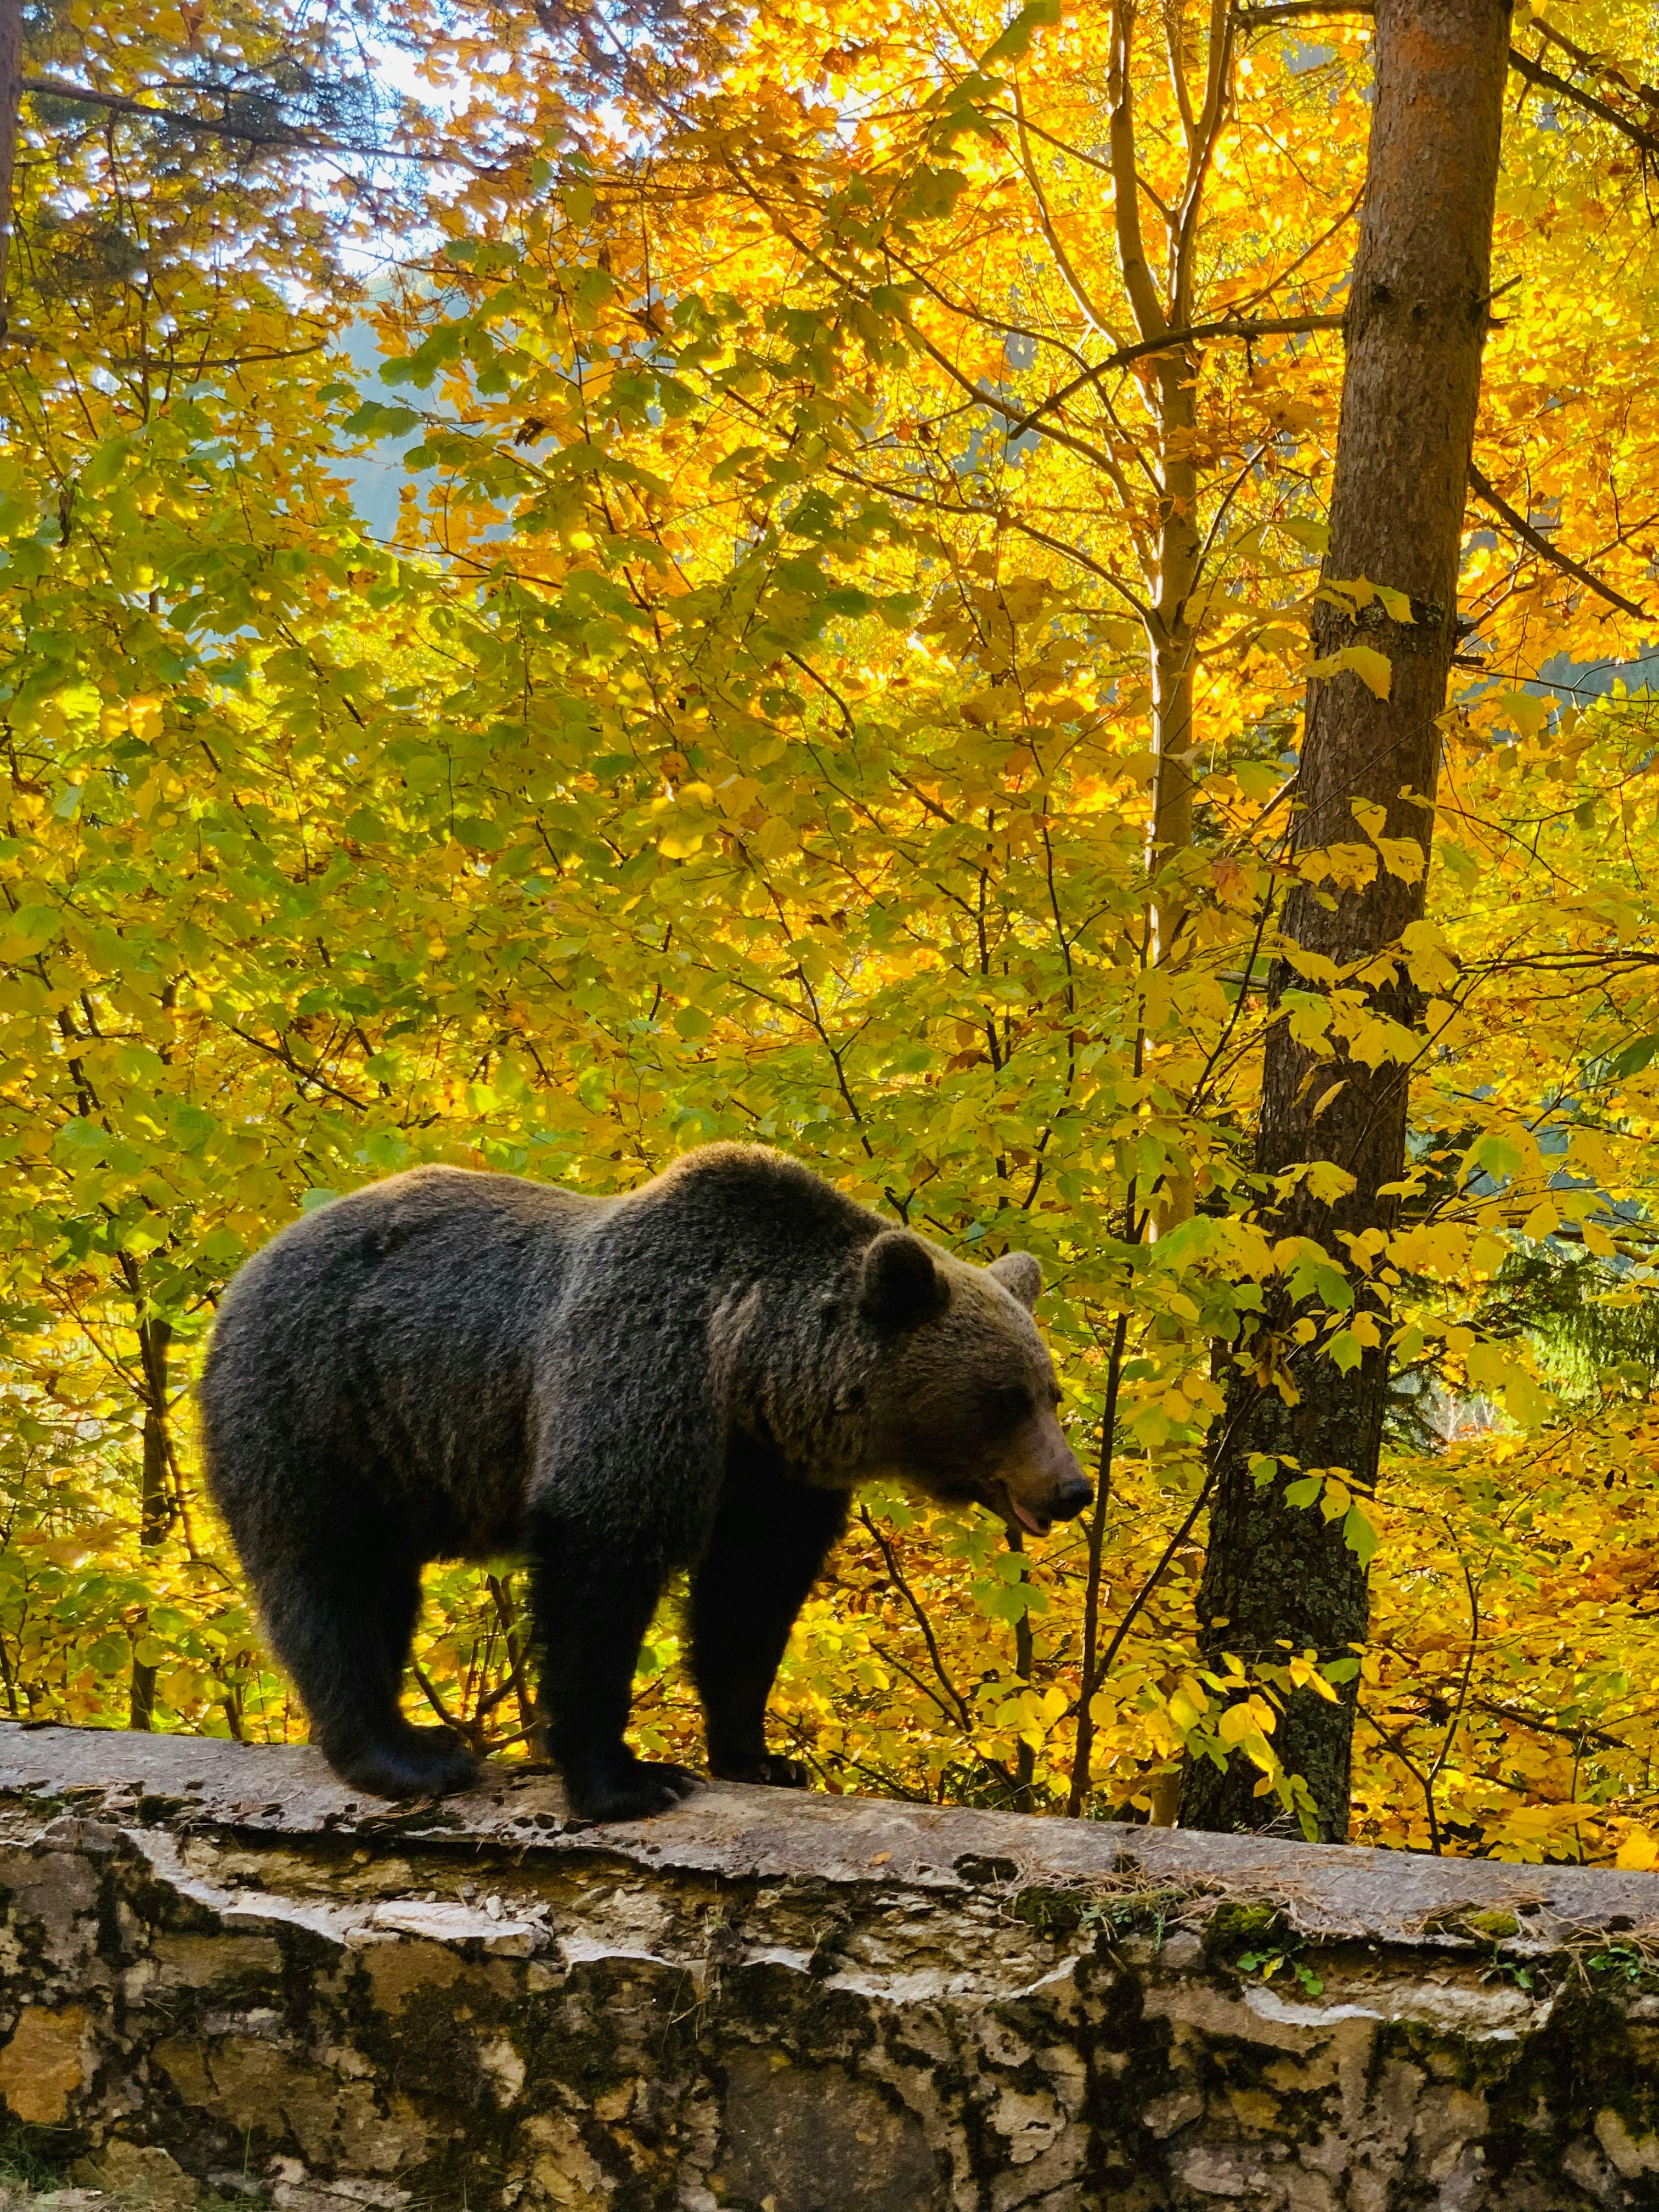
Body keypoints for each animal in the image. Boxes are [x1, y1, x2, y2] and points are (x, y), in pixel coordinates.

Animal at [199, 1143, 1091, 1821]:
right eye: (1005, 1398)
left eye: (1050, 1393)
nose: (1072, 1489)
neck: (749, 1374)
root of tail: (254, 1264)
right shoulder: (640, 1377)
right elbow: (602, 1569)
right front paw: (628, 1780)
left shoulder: (771, 1475)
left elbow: (748, 1602)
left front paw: (760, 1757)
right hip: (320, 1408)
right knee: (327, 1578)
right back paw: (408, 1755)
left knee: (379, 1588)